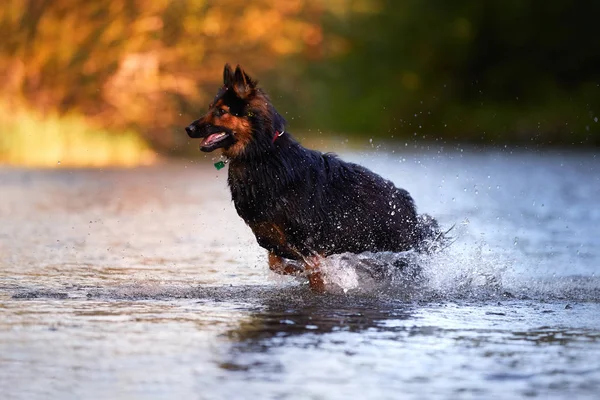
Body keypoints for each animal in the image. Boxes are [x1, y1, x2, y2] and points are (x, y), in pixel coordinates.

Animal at [185, 65, 442, 290]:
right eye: (210, 108)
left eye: (221, 111)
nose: (188, 129)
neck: (262, 154)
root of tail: (408, 205)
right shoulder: (274, 240)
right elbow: (278, 265)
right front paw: (302, 272)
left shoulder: (309, 243)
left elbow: (314, 271)